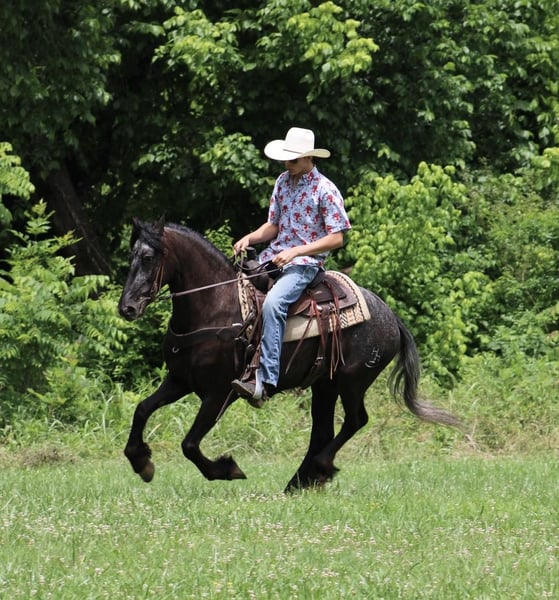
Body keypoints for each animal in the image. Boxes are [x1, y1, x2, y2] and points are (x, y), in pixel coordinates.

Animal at [118, 218, 459, 491]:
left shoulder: (220, 393)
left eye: (148, 257)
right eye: (130, 256)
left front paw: (228, 469)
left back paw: (319, 469)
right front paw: (141, 463)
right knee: (323, 430)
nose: (127, 308)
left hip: (353, 381)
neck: (215, 307)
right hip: (325, 384)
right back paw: (301, 481)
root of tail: (391, 317)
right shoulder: (180, 380)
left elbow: (189, 444)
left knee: (355, 421)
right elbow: (142, 409)